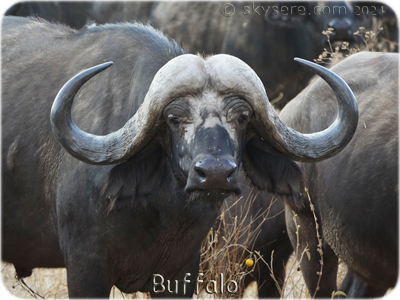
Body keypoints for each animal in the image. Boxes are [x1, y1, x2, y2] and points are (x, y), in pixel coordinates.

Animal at [0, 17, 356, 300]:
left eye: (242, 118)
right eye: (173, 119)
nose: (215, 173)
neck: (162, 211)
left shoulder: (183, 270)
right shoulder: (85, 265)